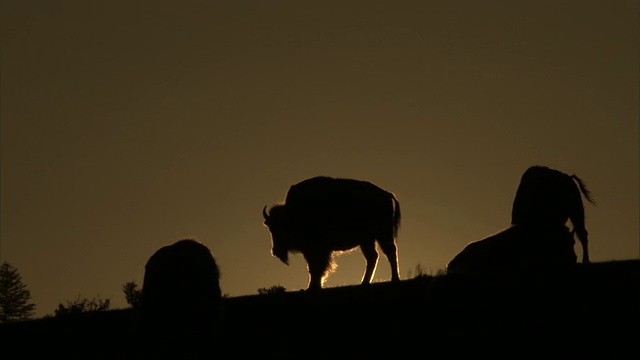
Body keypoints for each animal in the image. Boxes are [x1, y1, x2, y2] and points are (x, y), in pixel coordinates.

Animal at [262, 176, 400, 292]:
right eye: (271, 228)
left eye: (281, 227)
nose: (275, 251)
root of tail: (385, 194)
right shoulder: (310, 251)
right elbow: (313, 267)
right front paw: (312, 286)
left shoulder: (317, 250)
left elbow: (316, 268)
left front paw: (313, 287)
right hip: (367, 240)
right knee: (373, 257)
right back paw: (364, 282)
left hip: (383, 234)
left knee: (390, 252)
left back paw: (394, 279)